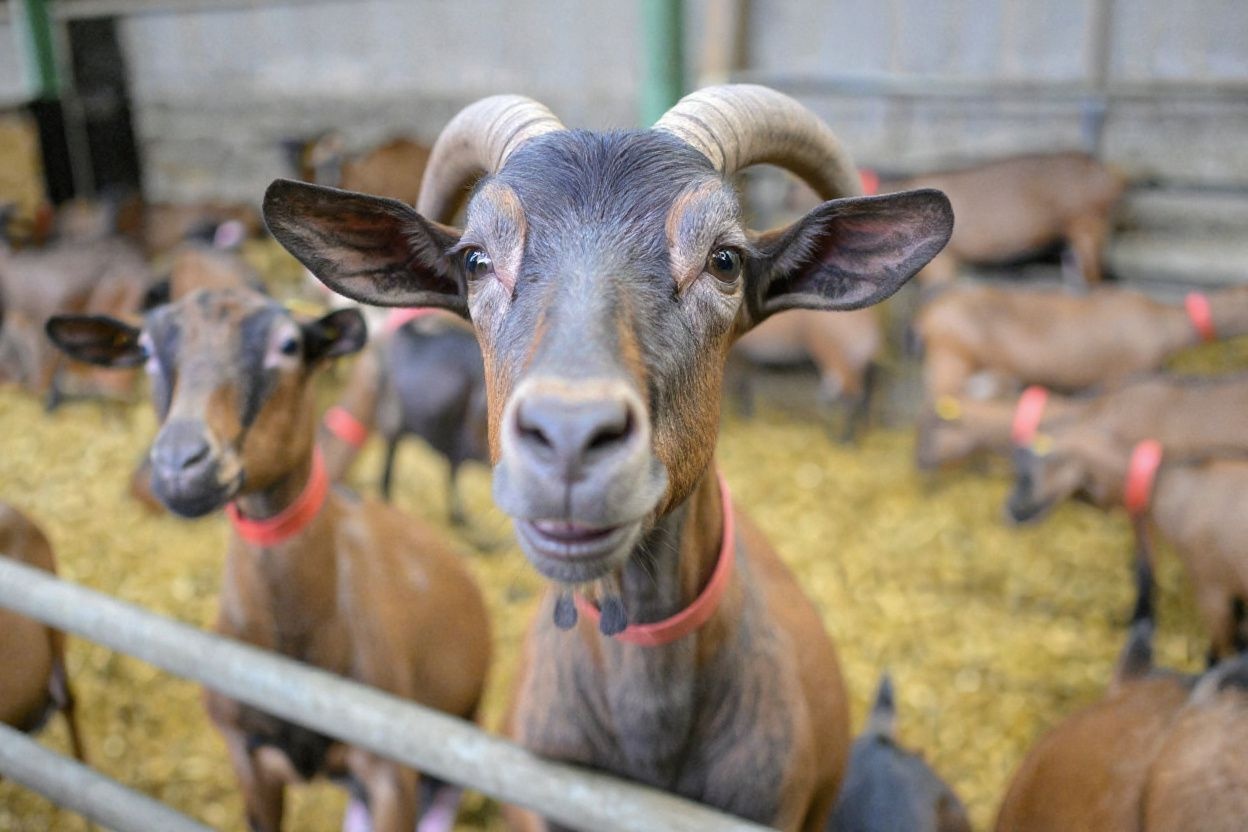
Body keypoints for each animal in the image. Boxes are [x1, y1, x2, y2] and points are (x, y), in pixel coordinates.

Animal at [731, 307, 881, 442]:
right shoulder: (745, 356)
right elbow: (743, 384)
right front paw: (747, 415)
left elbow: (739, 385)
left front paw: (744, 416)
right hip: (856, 362)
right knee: (865, 390)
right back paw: (861, 429)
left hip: (836, 358)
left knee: (850, 397)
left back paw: (844, 441)